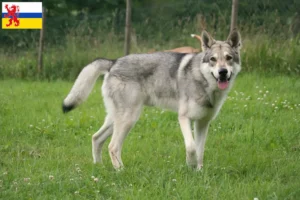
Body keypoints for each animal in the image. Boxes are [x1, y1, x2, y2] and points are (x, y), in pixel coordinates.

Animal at [62, 29, 241, 170]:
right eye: (213, 59)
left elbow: (200, 150)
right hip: (129, 119)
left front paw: (198, 172)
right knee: (112, 146)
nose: (223, 72)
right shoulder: (183, 118)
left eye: (229, 58)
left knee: (96, 138)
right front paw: (190, 166)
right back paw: (121, 171)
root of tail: (113, 62)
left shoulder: (203, 123)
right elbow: (191, 147)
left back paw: (99, 167)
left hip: (117, 119)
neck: (204, 82)